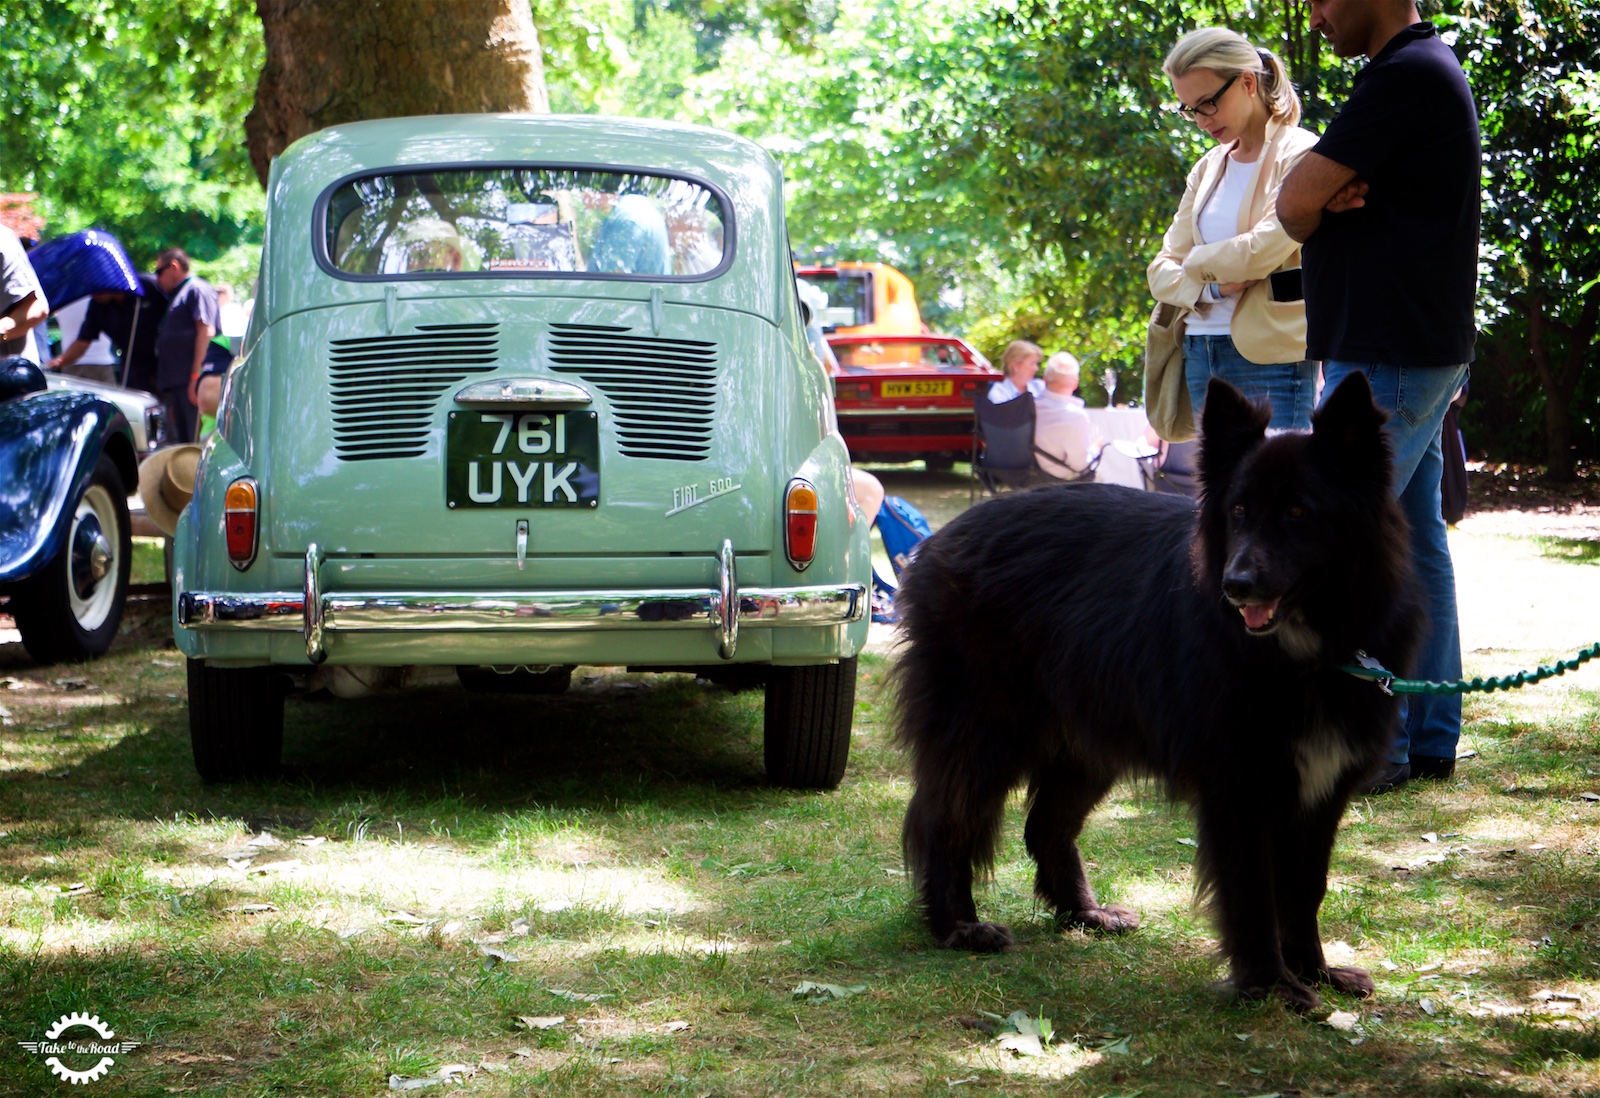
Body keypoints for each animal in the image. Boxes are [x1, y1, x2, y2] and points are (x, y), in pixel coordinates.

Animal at [896, 376, 1420, 1017]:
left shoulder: (1322, 788)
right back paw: (958, 926)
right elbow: (1252, 891)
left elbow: (1305, 887)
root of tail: (937, 540)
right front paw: (1270, 984)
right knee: (945, 820)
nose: (1235, 586)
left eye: (1300, 512)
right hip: (984, 735)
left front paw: (1315, 972)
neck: (1303, 650)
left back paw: (1084, 913)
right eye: (1238, 511)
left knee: (1044, 826)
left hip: (1088, 745)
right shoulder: (1240, 786)